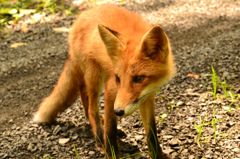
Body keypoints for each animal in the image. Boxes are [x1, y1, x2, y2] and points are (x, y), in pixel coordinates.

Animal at [32, 4, 175, 158]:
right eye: (118, 78)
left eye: (138, 78)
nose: (118, 111)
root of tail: (82, 15)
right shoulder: (111, 90)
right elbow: (110, 129)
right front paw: (111, 153)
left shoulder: (147, 97)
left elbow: (151, 133)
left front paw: (157, 155)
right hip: (94, 76)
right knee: (91, 108)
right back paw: (99, 137)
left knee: (84, 97)